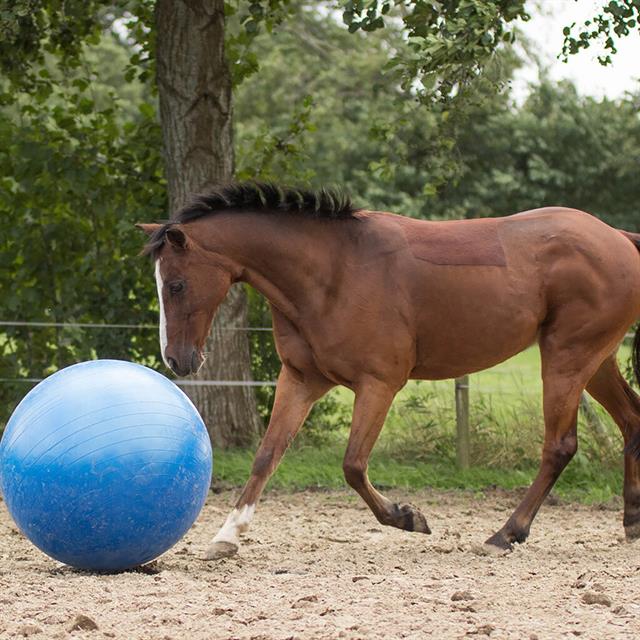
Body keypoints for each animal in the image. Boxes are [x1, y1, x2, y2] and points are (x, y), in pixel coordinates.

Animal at [139, 182, 640, 556]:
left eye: (177, 284)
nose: (177, 360)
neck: (332, 273)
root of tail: (618, 237)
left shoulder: (378, 384)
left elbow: (353, 465)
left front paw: (408, 518)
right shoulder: (301, 381)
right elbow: (267, 454)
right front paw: (227, 535)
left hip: (566, 358)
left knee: (560, 446)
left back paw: (504, 534)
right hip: (595, 362)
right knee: (632, 422)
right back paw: (631, 522)